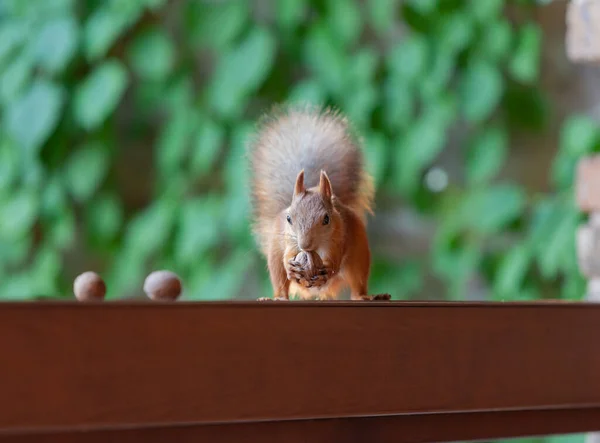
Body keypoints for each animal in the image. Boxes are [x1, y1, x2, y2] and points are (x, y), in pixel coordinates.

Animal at [246, 104, 386, 302]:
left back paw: (364, 296)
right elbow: (287, 256)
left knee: (356, 284)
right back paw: (278, 297)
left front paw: (328, 268)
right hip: (274, 257)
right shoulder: (289, 239)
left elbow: (335, 259)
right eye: (289, 218)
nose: (304, 245)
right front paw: (290, 266)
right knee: (280, 281)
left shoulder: (340, 235)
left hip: (359, 258)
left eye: (326, 219)